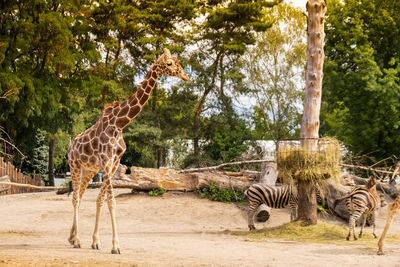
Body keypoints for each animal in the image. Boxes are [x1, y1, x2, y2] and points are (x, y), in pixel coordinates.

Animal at [67, 48, 189, 255]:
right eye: (170, 63)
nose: (185, 76)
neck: (120, 123)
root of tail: (70, 146)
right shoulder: (105, 161)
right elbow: (111, 201)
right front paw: (116, 246)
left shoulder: (113, 163)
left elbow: (100, 199)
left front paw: (96, 241)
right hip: (75, 166)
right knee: (75, 198)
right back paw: (76, 240)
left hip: (88, 170)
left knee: (80, 196)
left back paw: (72, 238)